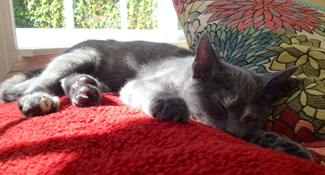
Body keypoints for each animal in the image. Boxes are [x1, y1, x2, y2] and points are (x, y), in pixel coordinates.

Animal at [0, 33, 312, 161]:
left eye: (251, 117)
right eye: (221, 104)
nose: (233, 132)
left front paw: (285, 145)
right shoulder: (141, 84)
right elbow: (153, 91)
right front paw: (171, 105)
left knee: (67, 81)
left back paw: (85, 90)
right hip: (82, 56)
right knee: (41, 81)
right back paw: (37, 100)